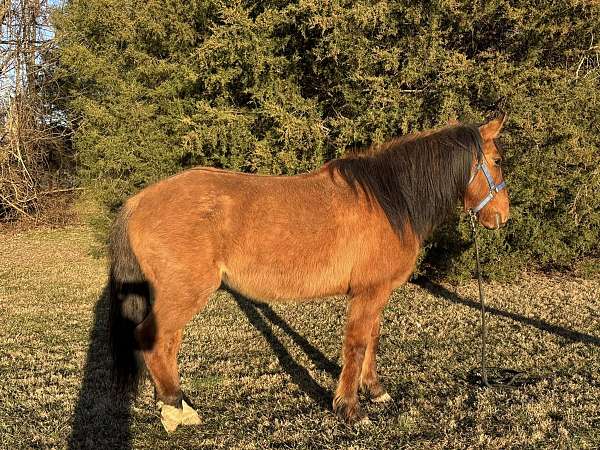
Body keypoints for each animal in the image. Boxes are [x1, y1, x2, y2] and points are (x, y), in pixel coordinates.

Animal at [106, 114, 506, 430]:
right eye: (498, 160)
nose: (501, 216)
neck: (389, 200)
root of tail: (138, 201)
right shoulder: (369, 293)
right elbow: (357, 344)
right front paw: (350, 409)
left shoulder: (376, 291)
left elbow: (373, 338)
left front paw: (375, 391)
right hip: (185, 292)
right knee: (153, 340)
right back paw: (176, 409)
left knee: (167, 343)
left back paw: (178, 405)